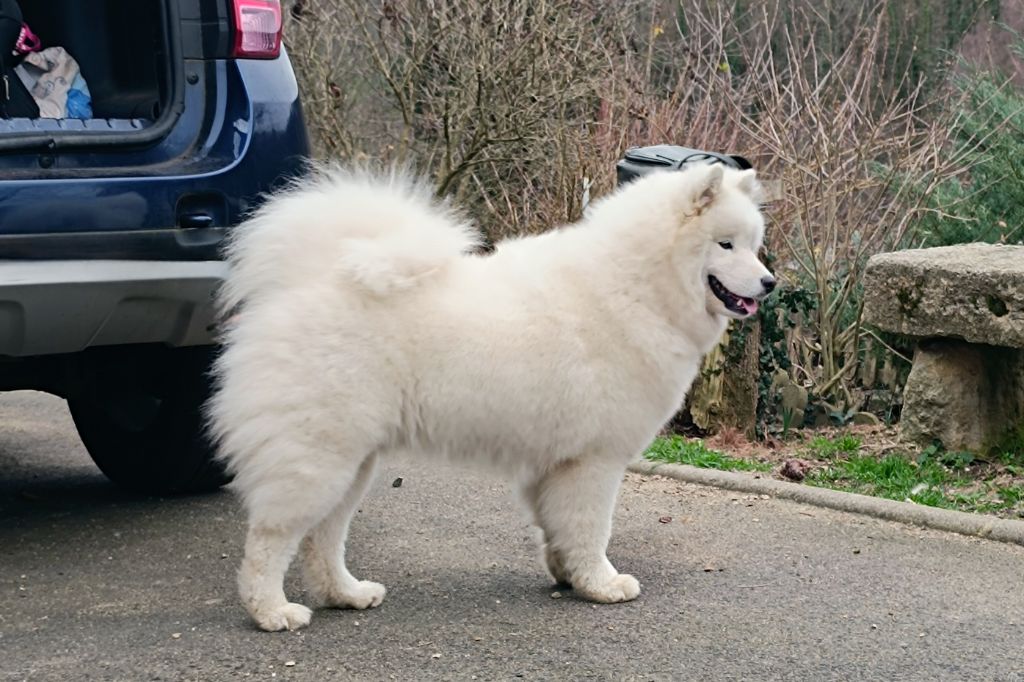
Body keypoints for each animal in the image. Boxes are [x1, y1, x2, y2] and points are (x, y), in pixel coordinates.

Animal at [207, 159, 770, 626]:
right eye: (726, 244)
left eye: (753, 244)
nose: (769, 282)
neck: (637, 287)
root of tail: (310, 277)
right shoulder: (594, 462)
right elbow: (592, 529)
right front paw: (603, 585)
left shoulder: (555, 464)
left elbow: (558, 530)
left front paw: (569, 577)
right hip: (318, 457)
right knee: (271, 539)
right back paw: (272, 612)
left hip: (352, 463)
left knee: (323, 539)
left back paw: (346, 594)